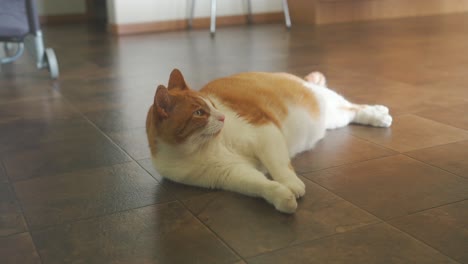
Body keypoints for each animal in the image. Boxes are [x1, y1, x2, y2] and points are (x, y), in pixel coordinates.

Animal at [146, 69, 392, 213]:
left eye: (213, 105)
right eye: (199, 113)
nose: (222, 117)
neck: (202, 148)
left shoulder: (264, 132)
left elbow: (278, 165)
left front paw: (291, 183)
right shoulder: (231, 174)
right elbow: (259, 184)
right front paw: (282, 197)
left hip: (327, 106)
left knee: (354, 106)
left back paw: (379, 114)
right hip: (333, 119)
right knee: (351, 112)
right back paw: (377, 114)